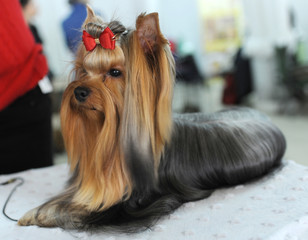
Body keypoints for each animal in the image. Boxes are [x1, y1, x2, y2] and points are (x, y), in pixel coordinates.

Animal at [17, 6, 286, 232]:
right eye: (84, 70)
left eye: (115, 72)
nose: (79, 91)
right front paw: (38, 211)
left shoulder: (133, 206)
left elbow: (87, 212)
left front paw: (45, 214)